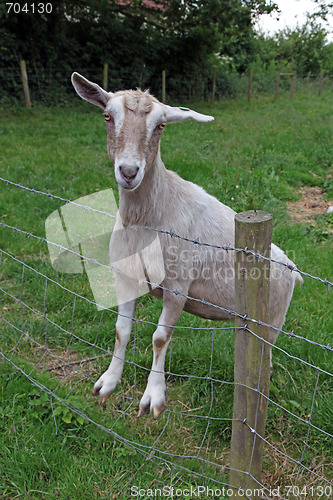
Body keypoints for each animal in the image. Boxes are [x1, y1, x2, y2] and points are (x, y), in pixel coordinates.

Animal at [70, 72, 300, 420]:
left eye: (161, 126)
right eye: (107, 116)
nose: (129, 172)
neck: (148, 220)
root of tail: (293, 269)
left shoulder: (178, 287)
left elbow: (159, 338)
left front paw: (153, 398)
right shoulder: (124, 277)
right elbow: (121, 330)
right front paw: (107, 383)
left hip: (273, 320)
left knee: (267, 358)